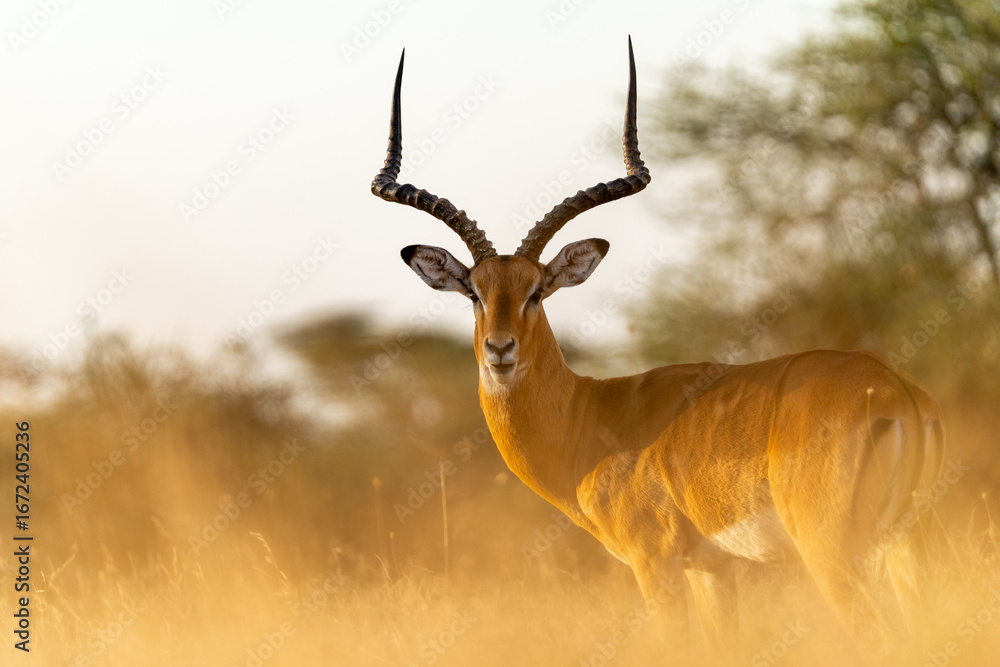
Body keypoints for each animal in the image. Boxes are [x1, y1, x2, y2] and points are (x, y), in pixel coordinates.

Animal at [371, 39, 945, 650]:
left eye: (536, 291)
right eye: (475, 292)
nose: (500, 350)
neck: (588, 418)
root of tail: (895, 391)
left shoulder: (656, 564)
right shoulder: (716, 571)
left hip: (835, 556)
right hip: (909, 545)